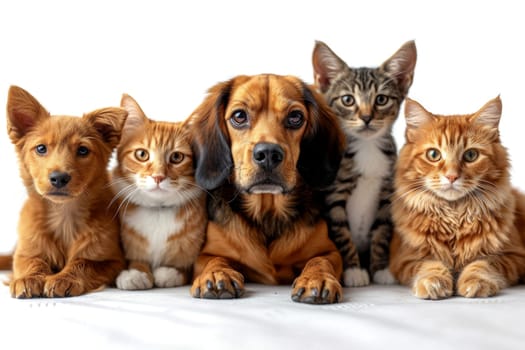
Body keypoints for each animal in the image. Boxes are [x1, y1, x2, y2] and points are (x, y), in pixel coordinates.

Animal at [6, 87, 127, 298]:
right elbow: (32, 261)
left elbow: (83, 262)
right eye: (41, 148)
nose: (59, 178)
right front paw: (29, 278)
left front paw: (63, 278)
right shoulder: (25, 252)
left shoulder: (111, 260)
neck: (64, 215)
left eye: (83, 150)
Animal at [111, 94, 206, 288]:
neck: (158, 211)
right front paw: (136, 273)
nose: (158, 177)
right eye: (142, 154)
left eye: (177, 157)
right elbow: (137, 261)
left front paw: (169, 272)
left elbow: (184, 268)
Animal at [188, 74, 344, 304]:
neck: (267, 213)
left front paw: (317, 278)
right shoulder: (206, 253)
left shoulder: (330, 251)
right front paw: (217, 274)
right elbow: (213, 260)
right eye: (239, 116)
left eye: (295, 117)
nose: (269, 153)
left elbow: (319, 261)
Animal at [312, 40, 418, 288]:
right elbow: (342, 232)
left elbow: (382, 231)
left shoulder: (387, 195)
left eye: (381, 99)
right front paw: (353, 270)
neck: (367, 147)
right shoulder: (333, 196)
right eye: (348, 100)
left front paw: (380, 269)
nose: (367, 117)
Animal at [386, 95, 524, 298]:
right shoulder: (405, 259)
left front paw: (476, 281)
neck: (454, 216)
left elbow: (483, 263)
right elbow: (430, 264)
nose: (452, 176)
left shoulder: (514, 256)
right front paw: (433, 282)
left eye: (471, 155)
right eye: (433, 154)